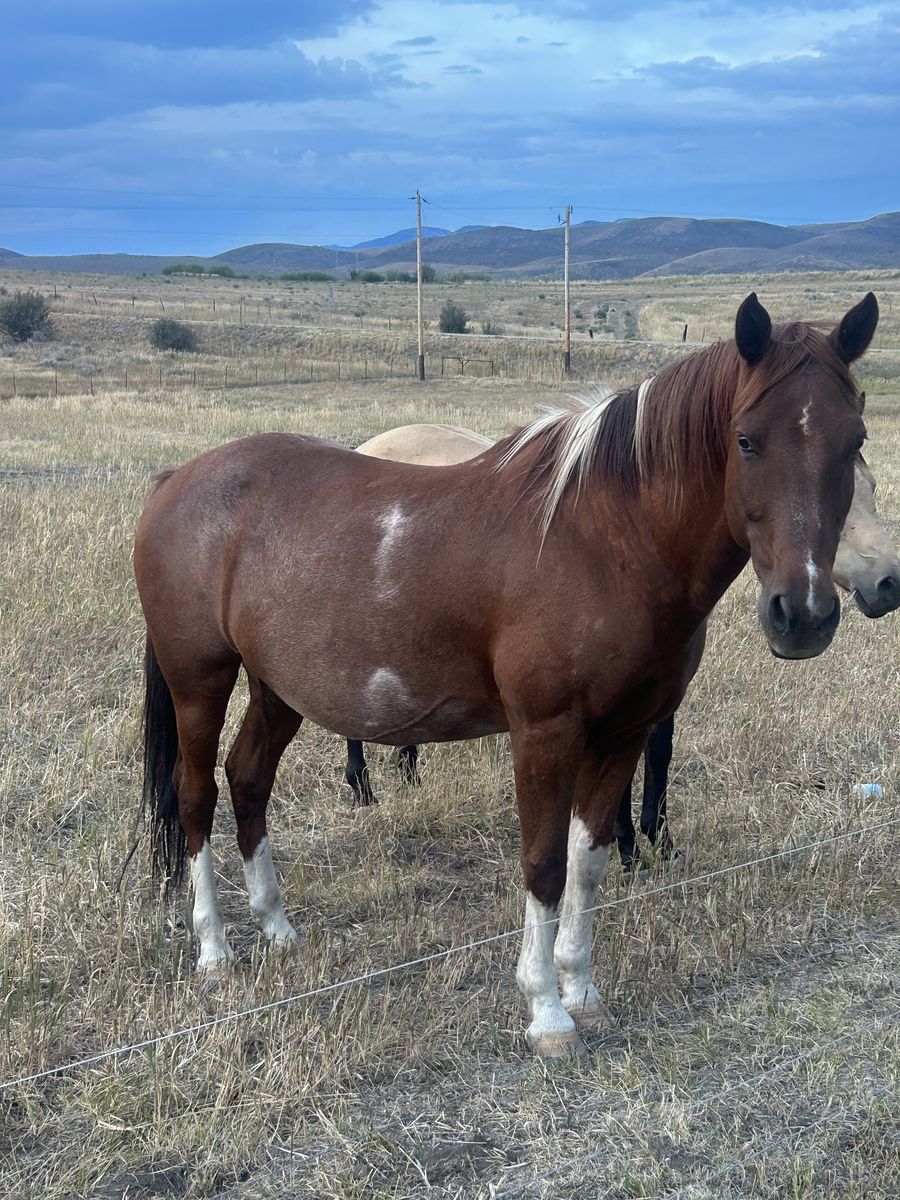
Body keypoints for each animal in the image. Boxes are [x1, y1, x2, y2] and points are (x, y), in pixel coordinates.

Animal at [345, 424, 900, 873]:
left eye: (870, 489)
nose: (888, 584)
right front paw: (627, 848)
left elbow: (659, 752)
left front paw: (661, 842)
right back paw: (362, 788)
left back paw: (408, 770)